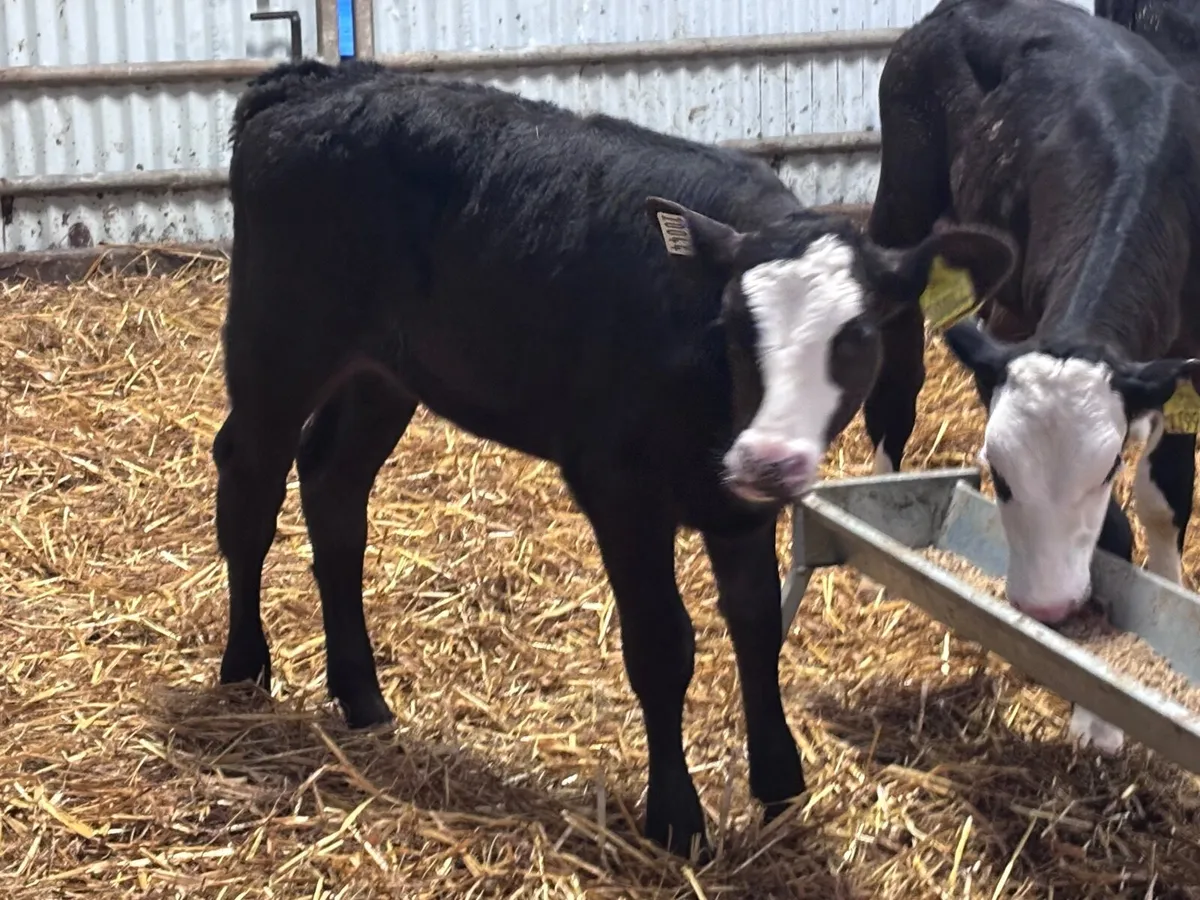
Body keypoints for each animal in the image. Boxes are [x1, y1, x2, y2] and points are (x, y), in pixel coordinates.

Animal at [212, 57, 1014, 856]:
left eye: (858, 334)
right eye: (734, 321)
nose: (769, 459)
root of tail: (311, 83)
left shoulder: (738, 508)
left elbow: (757, 628)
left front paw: (780, 785)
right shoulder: (619, 489)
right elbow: (662, 645)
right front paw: (676, 817)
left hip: (384, 373)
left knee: (334, 486)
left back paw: (361, 694)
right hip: (276, 340)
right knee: (249, 480)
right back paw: (244, 669)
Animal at [859, 0, 1200, 752]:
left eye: (1106, 469)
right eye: (1001, 477)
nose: (1044, 606)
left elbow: (1165, 501)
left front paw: (1168, 590)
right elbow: (1115, 535)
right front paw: (1097, 713)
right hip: (902, 208)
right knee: (894, 385)